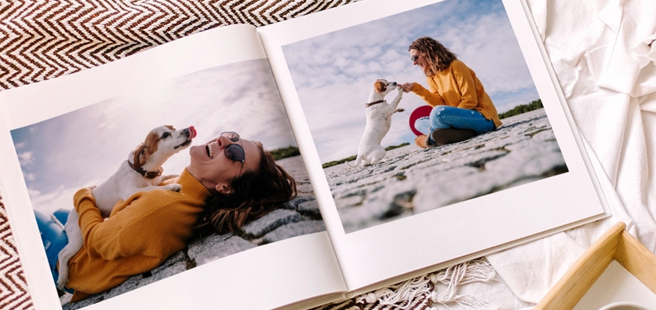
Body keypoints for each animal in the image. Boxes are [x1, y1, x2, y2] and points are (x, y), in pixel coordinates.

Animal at [55, 124, 195, 290]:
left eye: (173, 127)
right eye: (165, 135)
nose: (187, 130)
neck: (144, 170)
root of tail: (68, 218)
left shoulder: (159, 178)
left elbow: (168, 177)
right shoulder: (131, 191)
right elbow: (153, 189)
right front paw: (172, 186)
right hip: (77, 237)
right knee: (62, 254)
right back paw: (62, 278)